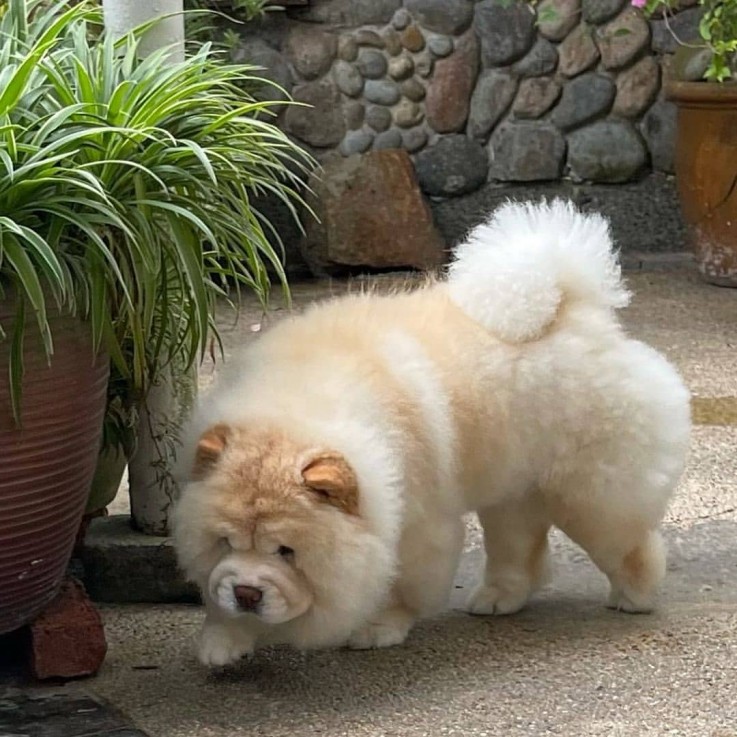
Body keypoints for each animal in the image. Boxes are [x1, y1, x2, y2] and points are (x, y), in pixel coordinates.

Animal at [172, 201, 688, 668]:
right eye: (225, 542)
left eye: (287, 552)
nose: (247, 592)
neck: (295, 405)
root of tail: (579, 310)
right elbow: (215, 595)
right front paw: (223, 640)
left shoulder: (418, 525)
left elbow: (401, 584)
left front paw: (378, 628)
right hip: (512, 485)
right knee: (518, 544)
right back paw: (497, 599)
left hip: (587, 493)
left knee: (626, 541)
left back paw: (634, 596)